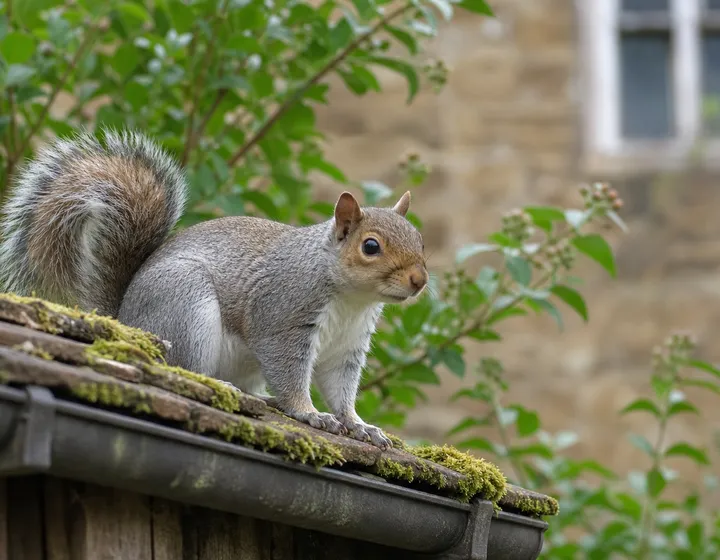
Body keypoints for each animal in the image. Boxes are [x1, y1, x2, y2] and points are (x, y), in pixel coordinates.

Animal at [0, 129, 428, 449]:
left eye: (420, 239)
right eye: (370, 246)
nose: (419, 280)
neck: (352, 301)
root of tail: (125, 318)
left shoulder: (347, 347)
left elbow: (341, 389)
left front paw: (358, 424)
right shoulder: (282, 318)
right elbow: (289, 373)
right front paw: (309, 412)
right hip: (186, 304)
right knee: (180, 365)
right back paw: (220, 385)